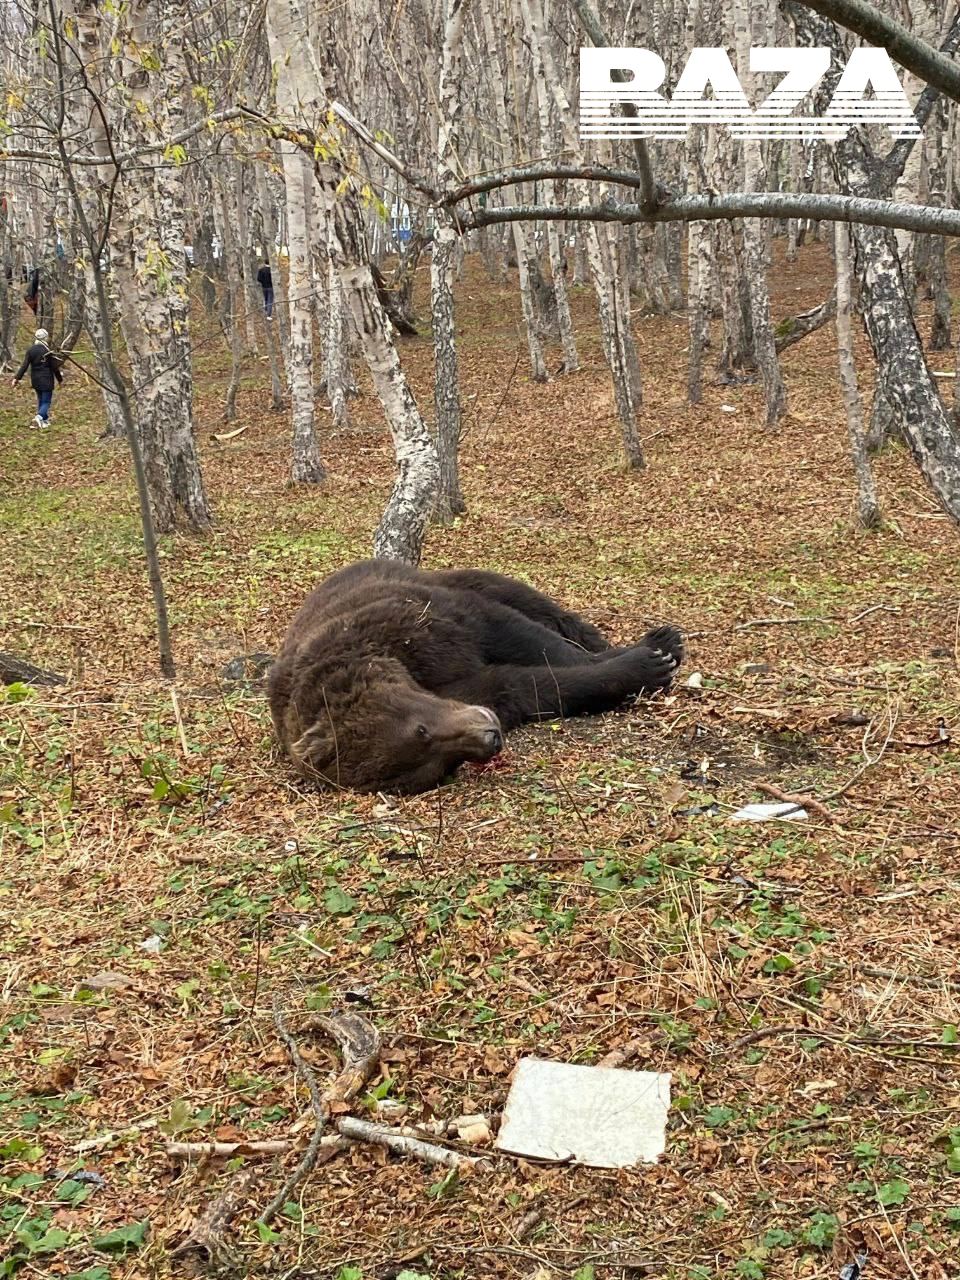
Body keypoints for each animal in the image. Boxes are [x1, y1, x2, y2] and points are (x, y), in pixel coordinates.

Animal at [267, 558, 686, 793]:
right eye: (440, 767)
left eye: (421, 730)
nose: (491, 737)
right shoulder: (473, 690)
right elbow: (528, 686)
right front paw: (637, 669)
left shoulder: (420, 626)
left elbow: (520, 636)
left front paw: (650, 658)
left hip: (441, 581)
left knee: (524, 600)